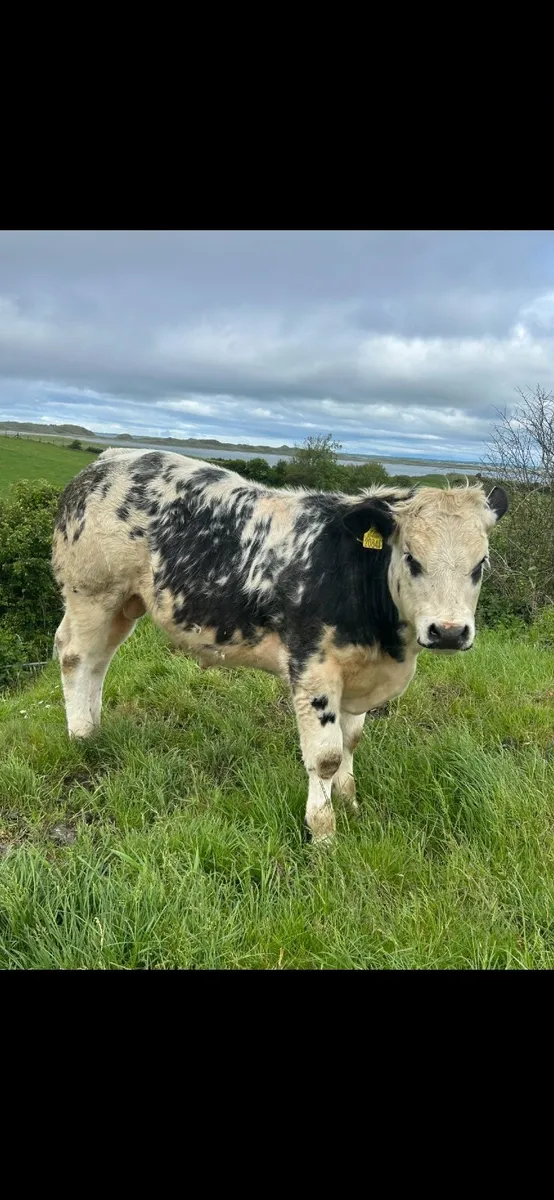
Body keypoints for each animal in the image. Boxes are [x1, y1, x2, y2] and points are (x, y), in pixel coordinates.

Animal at [51, 449, 508, 842]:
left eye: (481, 564)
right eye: (412, 558)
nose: (449, 631)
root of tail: (108, 461)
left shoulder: (359, 674)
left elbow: (351, 741)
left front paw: (350, 803)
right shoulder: (313, 669)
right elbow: (326, 756)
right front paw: (324, 835)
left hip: (124, 604)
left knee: (98, 661)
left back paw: (94, 728)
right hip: (93, 591)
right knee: (76, 656)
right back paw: (81, 737)